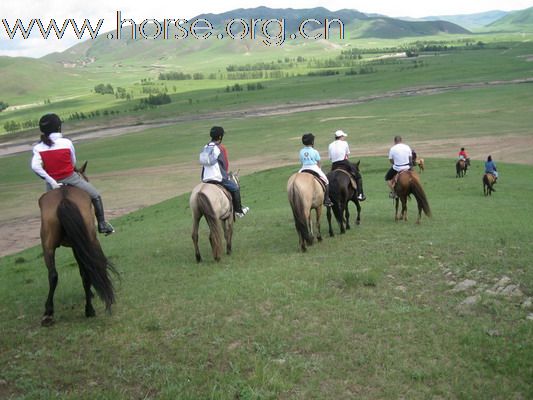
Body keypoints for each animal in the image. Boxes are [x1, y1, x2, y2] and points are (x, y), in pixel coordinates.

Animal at [37, 161, 116, 326]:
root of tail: (64, 198)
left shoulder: (75, 246)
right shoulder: (80, 245)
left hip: (48, 246)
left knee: (53, 275)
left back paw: (48, 313)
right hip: (89, 240)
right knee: (87, 271)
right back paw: (89, 309)